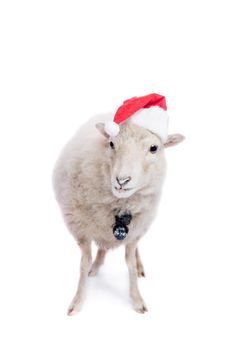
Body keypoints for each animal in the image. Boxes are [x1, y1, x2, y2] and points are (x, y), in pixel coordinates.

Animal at [52, 99, 184, 314]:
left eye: (154, 148)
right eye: (112, 143)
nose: (122, 180)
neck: (119, 206)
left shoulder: (134, 232)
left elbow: (130, 263)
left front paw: (136, 298)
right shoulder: (80, 231)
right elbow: (84, 263)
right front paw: (78, 301)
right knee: (102, 247)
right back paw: (97, 265)